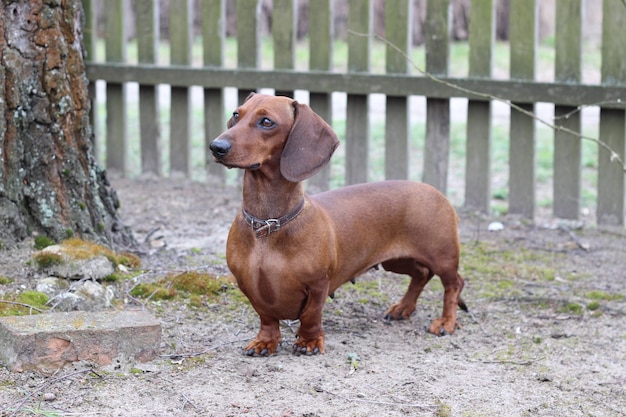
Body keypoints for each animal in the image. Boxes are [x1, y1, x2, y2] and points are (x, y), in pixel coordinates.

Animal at [210, 93, 464, 354]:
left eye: (267, 122)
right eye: (236, 114)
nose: (216, 147)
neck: (267, 224)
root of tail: (440, 194)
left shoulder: (318, 284)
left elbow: (311, 315)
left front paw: (309, 341)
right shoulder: (249, 286)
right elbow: (267, 317)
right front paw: (265, 340)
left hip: (442, 257)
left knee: (454, 283)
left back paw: (446, 321)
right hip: (397, 261)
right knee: (421, 275)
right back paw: (404, 308)